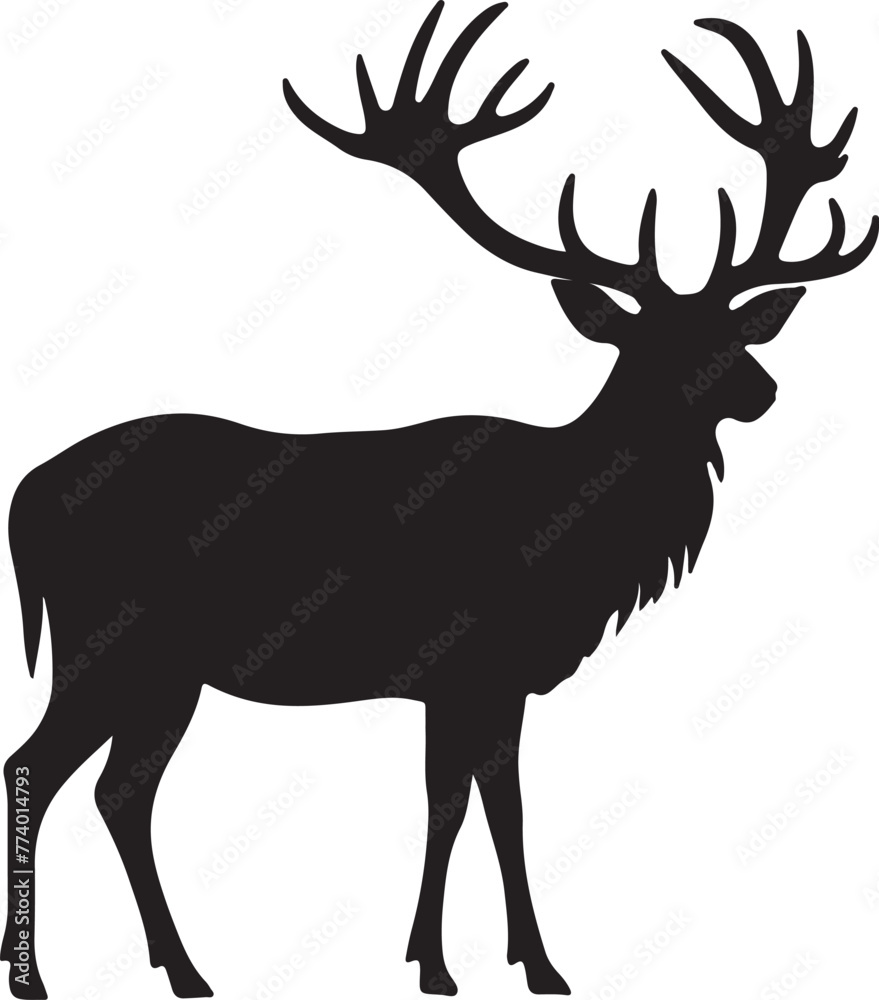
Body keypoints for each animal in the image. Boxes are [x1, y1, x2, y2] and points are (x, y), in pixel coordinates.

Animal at [3, 2, 876, 998]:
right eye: (652, 342)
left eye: (735, 328)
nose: (761, 390)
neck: (573, 538)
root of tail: (24, 497)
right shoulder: (470, 665)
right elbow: (469, 806)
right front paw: (474, 965)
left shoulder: (482, 682)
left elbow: (479, 804)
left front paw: (495, 959)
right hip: (110, 643)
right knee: (40, 766)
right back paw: (46, 973)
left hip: (159, 669)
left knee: (117, 789)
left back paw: (177, 968)